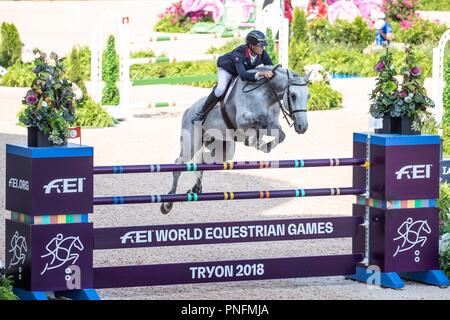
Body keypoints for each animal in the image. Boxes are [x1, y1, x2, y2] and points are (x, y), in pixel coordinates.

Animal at [160, 64, 312, 215]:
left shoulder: (272, 124)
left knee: (203, 161)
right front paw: (254, 141)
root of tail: (189, 110)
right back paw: (167, 204)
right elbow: (260, 122)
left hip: (223, 150)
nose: (302, 127)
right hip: (191, 143)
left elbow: (279, 135)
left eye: (308, 96)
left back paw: (196, 188)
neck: (266, 95)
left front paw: (265, 146)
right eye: (292, 95)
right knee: (179, 164)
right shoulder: (243, 120)